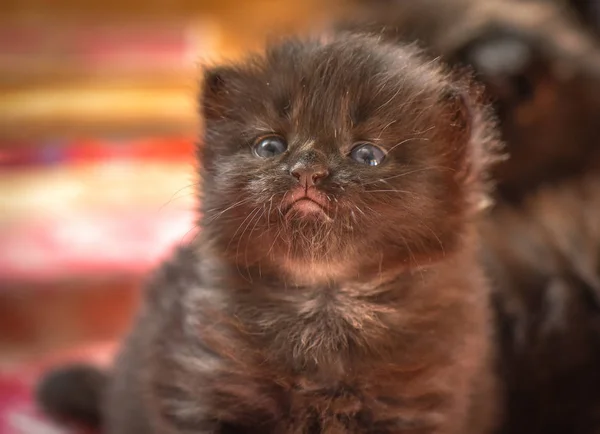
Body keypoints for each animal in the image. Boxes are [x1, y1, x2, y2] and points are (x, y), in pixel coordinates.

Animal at [35, 34, 500, 434]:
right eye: (270, 147)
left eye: (367, 155)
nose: (307, 169)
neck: (324, 300)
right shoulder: (206, 386)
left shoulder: (420, 402)